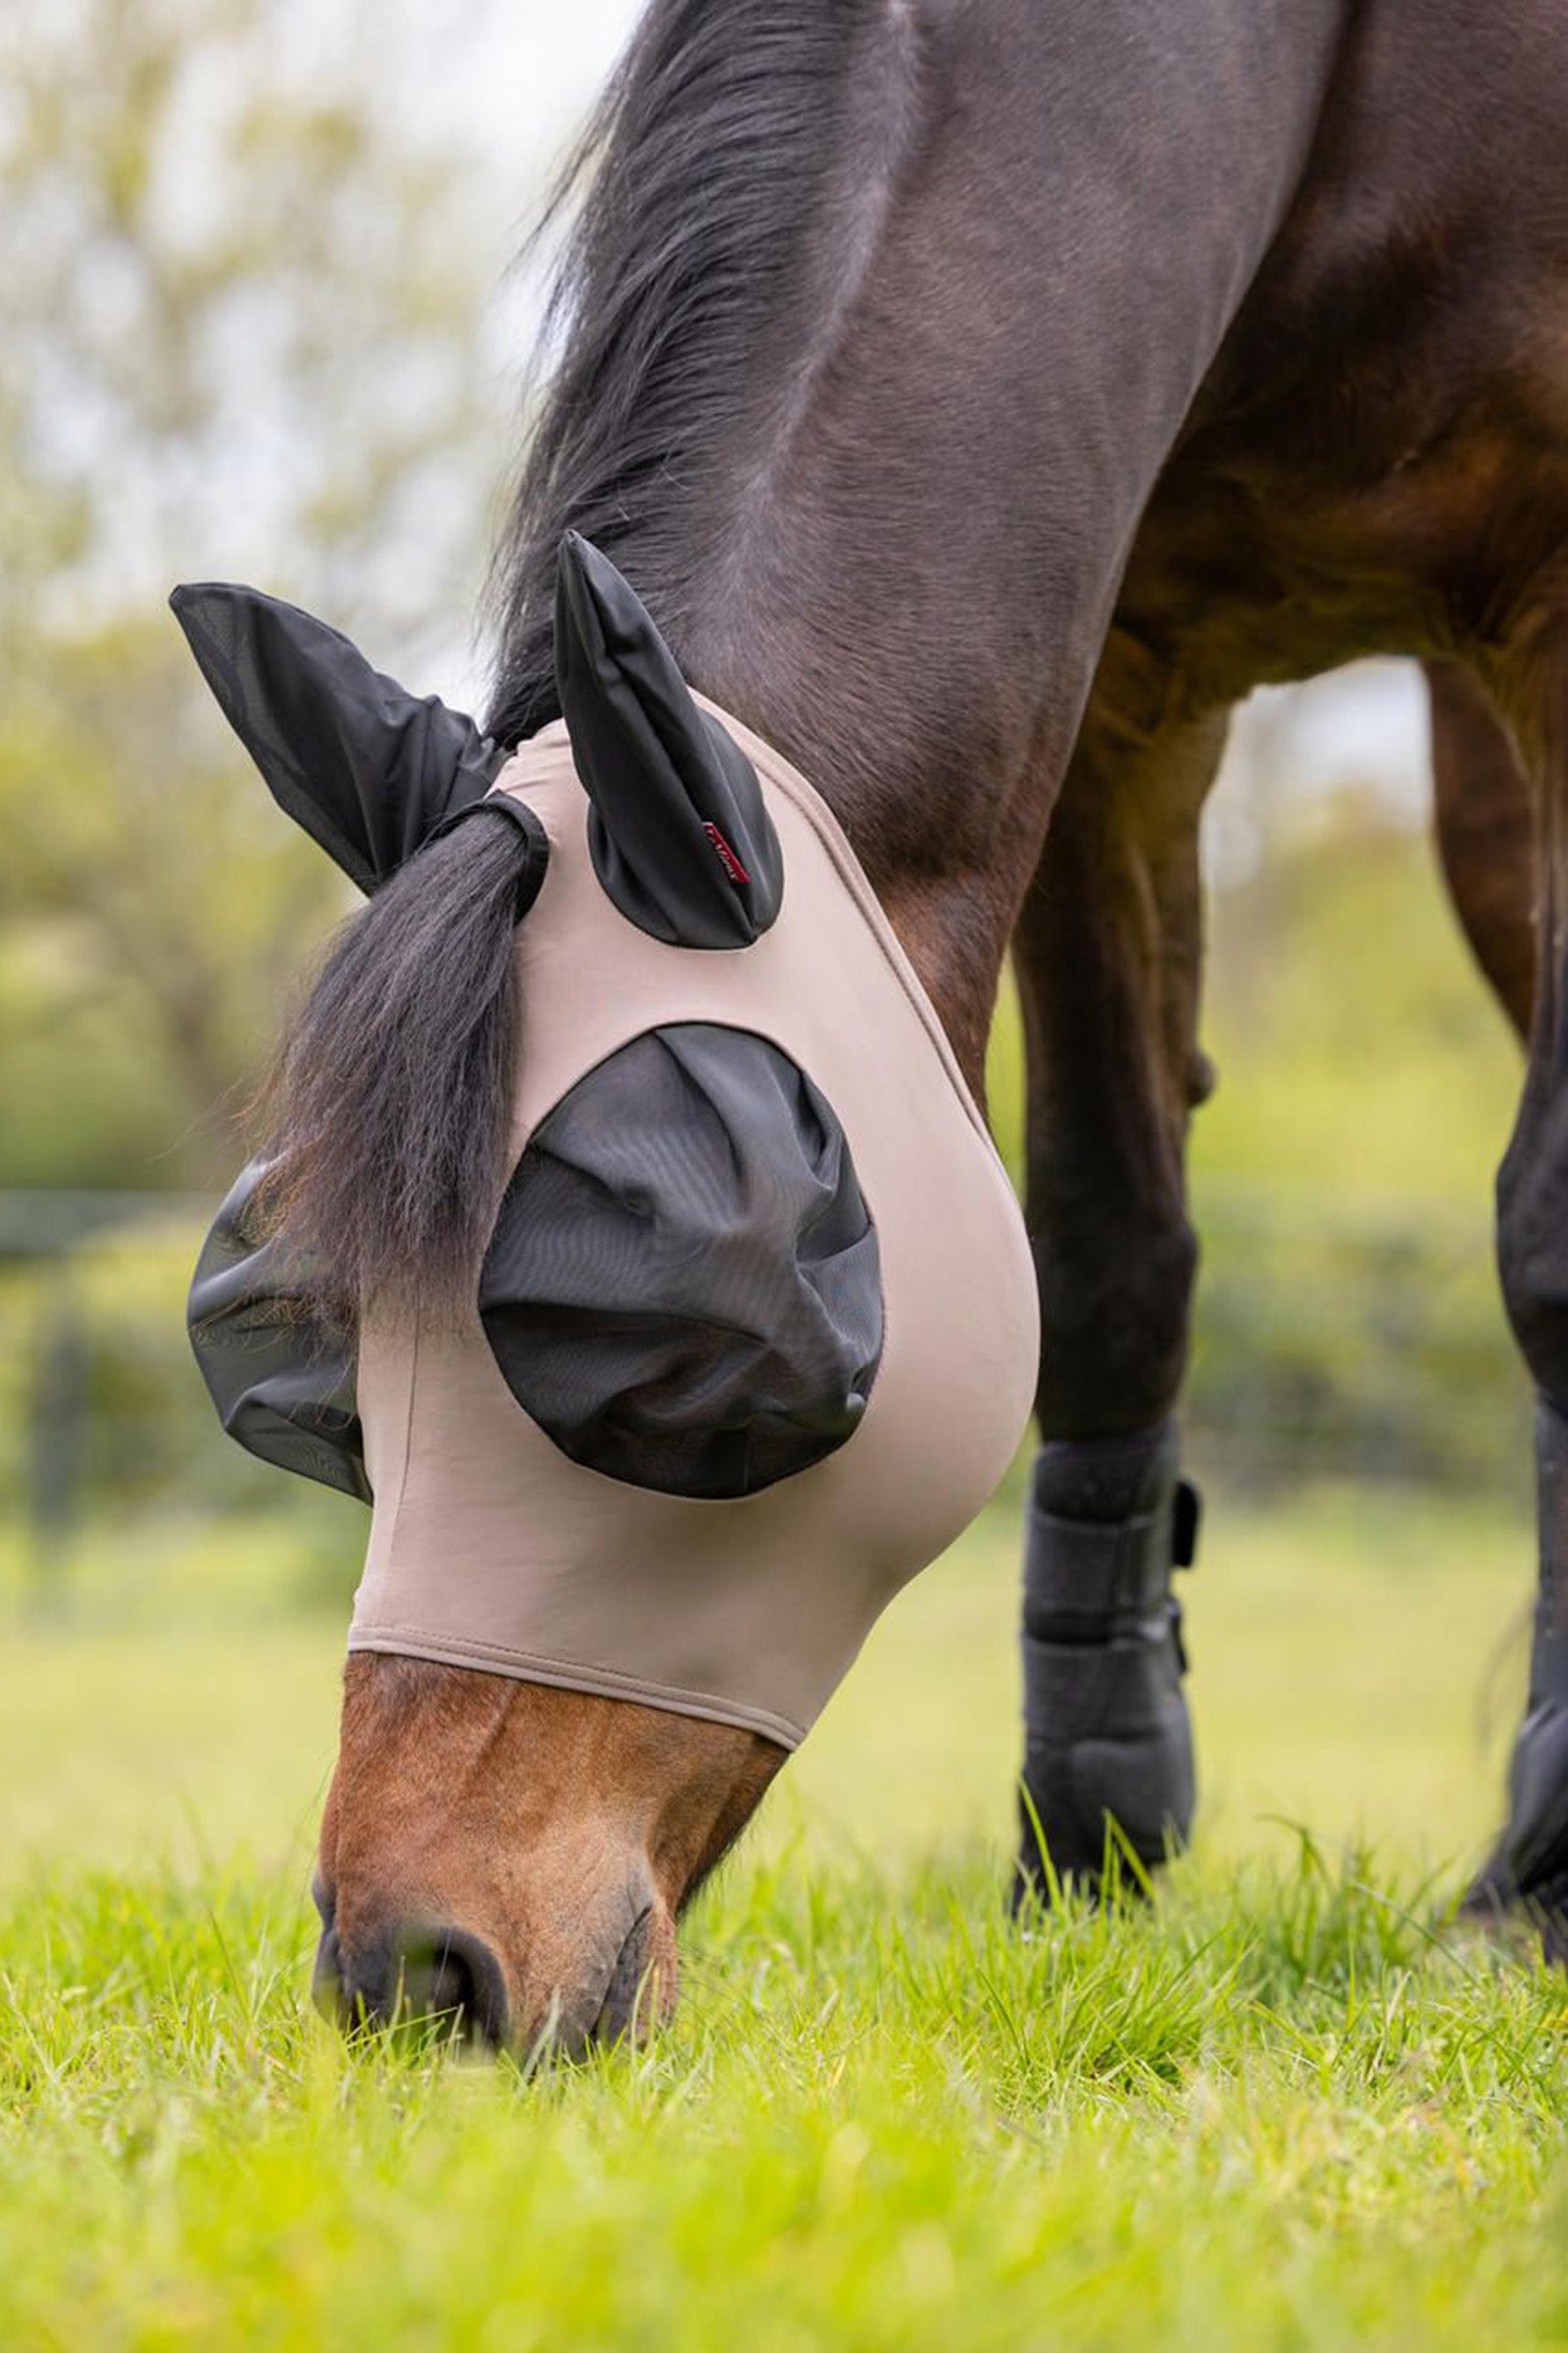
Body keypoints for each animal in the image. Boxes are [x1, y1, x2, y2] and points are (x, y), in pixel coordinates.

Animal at [207, 0, 1568, 2046]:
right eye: (310, 1352)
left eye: (685, 1336)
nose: (415, 1972)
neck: (1328, 82)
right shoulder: (1113, 672)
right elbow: (1110, 1258)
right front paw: (1091, 1852)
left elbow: (1548, 1248)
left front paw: (1539, 1891)